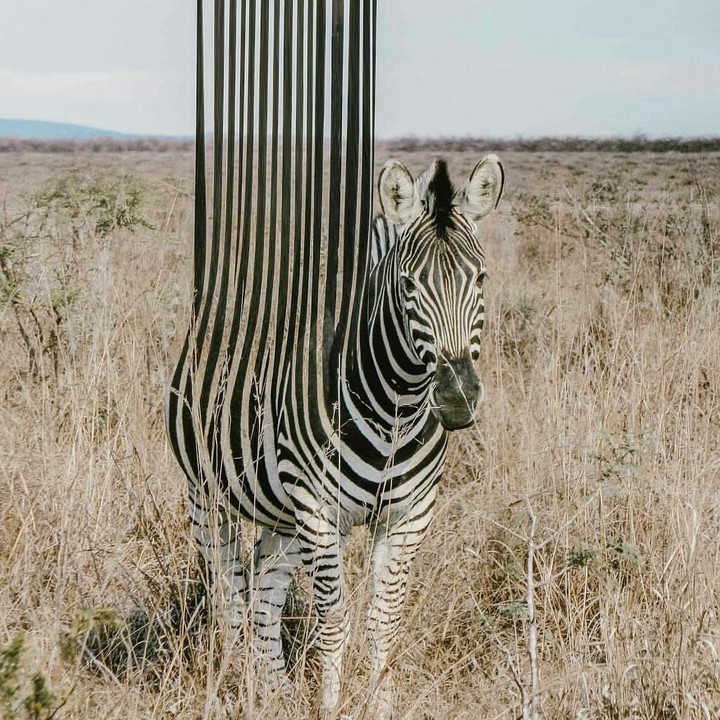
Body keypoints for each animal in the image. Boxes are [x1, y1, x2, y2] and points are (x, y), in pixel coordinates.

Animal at [166, 151, 504, 718]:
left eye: (479, 279)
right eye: (408, 285)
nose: (457, 400)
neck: (396, 405)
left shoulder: (410, 515)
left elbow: (383, 620)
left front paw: (380, 705)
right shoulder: (318, 510)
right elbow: (334, 622)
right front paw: (329, 707)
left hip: (282, 517)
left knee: (262, 598)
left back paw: (275, 693)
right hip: (208, 495)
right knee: (229, 596)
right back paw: (239, 687)